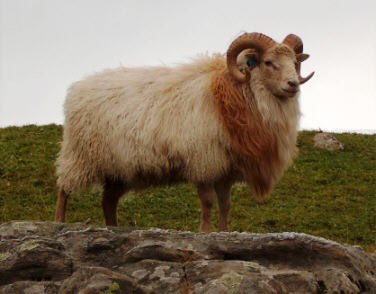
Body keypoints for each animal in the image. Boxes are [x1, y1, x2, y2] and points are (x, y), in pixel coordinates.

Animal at [55, 32, 314, 232]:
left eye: (295, 61)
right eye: (268, 62)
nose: (293, 84)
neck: (231, 94)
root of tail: (77, 88)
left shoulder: (225, 169)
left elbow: (225, 204)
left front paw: (223, 232)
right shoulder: (203, 161)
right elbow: (208, 202)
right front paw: (205, 232)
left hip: (118, 169)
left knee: (108, 202)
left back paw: (113, 229)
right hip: (80, 156)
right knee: (64, 188)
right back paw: (59, 222)